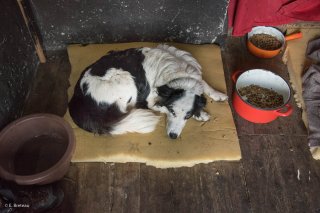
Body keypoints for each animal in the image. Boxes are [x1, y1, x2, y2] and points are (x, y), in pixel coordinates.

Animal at [68, 44, 228, 139]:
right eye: (172, 111)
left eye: (187, 116)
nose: (173, 136)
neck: (179, 74)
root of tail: (77, 100)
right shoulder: (151, 99)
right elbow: (160, 106)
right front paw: (201, 114)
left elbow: (204, 84)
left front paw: (217, 95)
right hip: (125, 78)